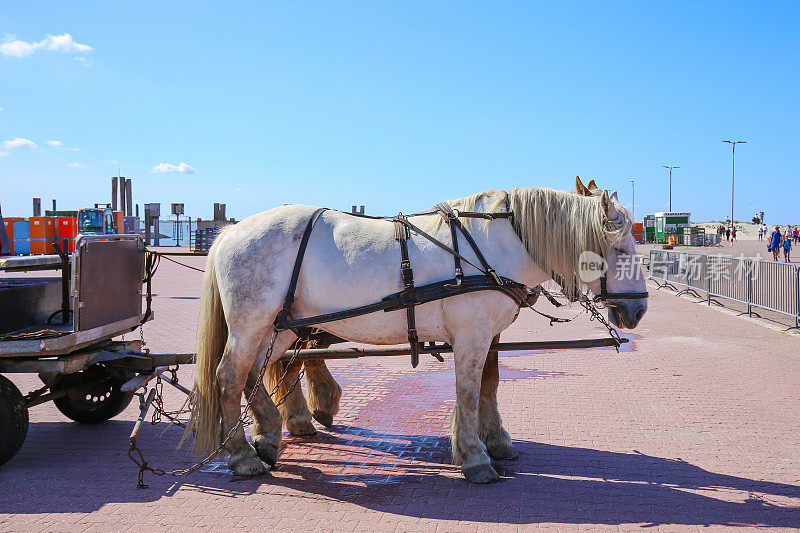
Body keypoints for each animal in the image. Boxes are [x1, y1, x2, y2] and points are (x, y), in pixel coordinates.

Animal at [186, 178, 644, 482]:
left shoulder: (489, 333)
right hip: (252, 324)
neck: (493, 246)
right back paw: (242, 455)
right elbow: (468, 390)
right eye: (621, 248)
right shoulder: (471, 334)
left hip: (276, 326)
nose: (638, 309)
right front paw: (475, 456)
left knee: (256, 373)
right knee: (230, 377)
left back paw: (268, 434)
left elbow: (490, 385)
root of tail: (231, 231)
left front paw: (495, 441)